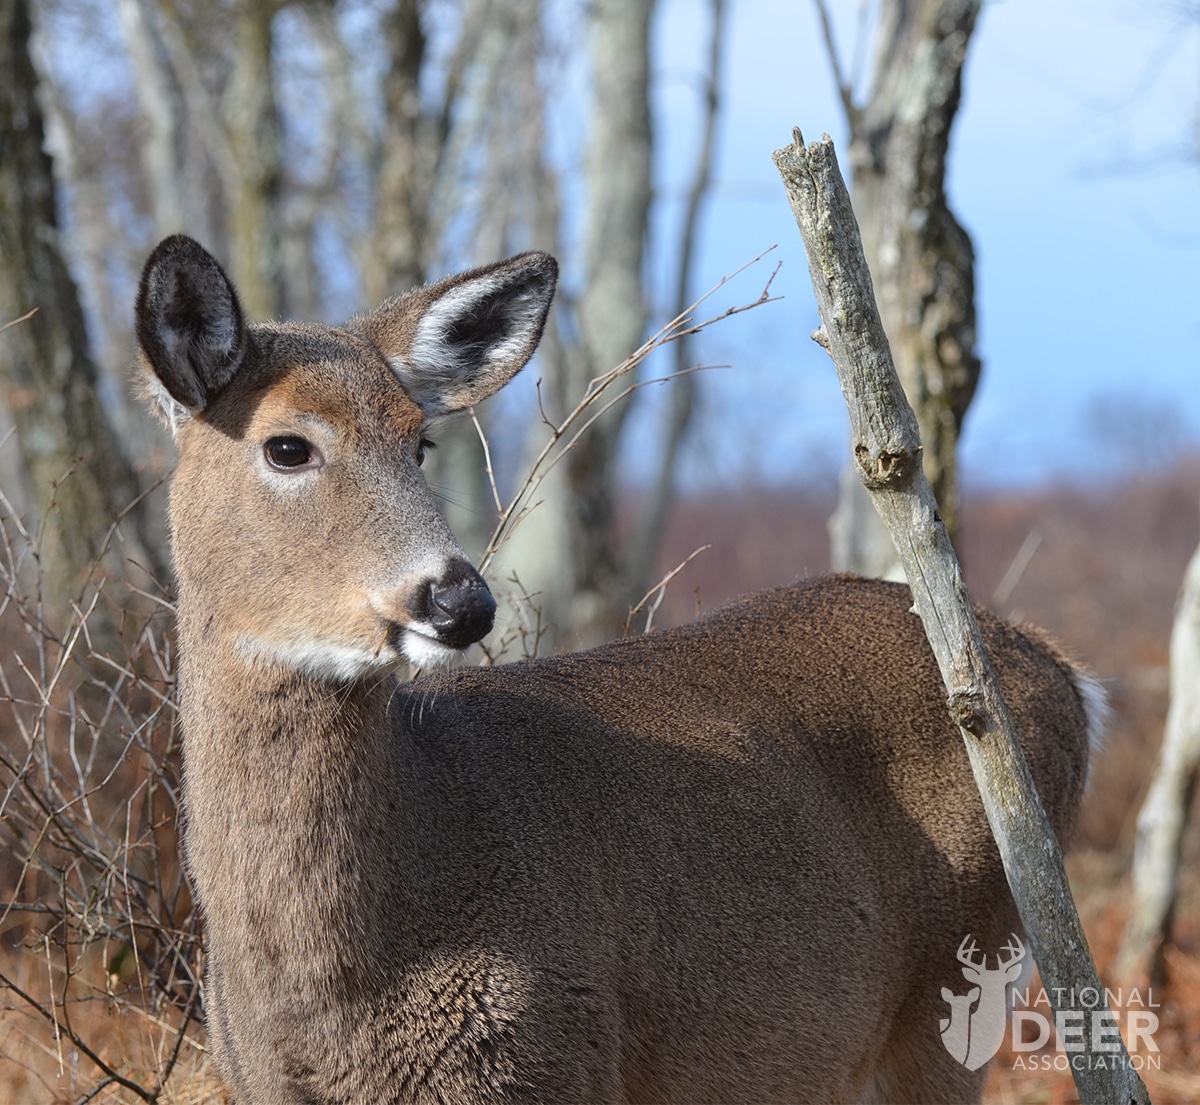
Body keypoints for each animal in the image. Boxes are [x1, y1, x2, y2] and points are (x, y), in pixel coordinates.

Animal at [136, 235, 1099, 1103]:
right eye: (287, 446)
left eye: (419, 444)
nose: (459, 599)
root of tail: (1063, 675)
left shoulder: (557, 1057)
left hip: (956, 991)